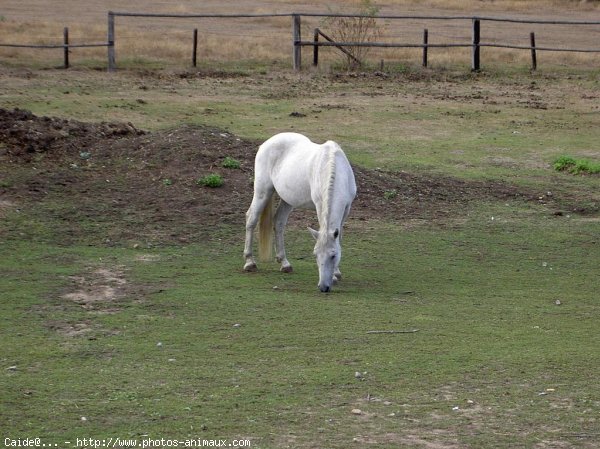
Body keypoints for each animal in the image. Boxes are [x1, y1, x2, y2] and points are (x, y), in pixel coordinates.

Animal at [243, 131, 356, 292]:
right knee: (251, 218)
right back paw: (249, 262)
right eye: (315, 255)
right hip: (262, 192)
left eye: (333, 255)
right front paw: (335, 275)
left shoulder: (347, 209)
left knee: (278, 222)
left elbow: (338, 239)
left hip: (287, 200)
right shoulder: (319, 205)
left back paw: (285, 263)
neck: (333, 166)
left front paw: (336, 273)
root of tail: (266, 143)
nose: (323, 287)